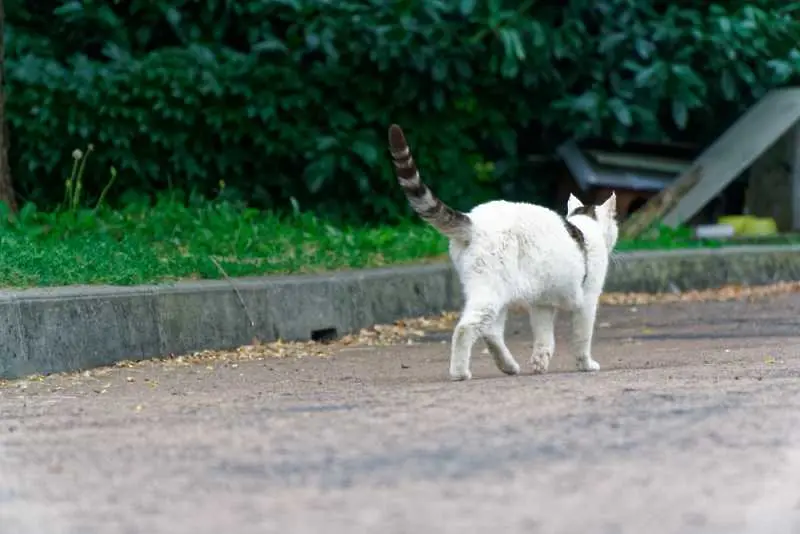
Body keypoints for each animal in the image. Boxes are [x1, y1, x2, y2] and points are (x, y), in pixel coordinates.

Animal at [388, 123, 620, 382]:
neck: (586, 227)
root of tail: (474, 221)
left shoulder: (542, 304)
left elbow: (544, 338)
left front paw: (540, 362)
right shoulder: (587, 301)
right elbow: (582, 338)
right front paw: (586, 364)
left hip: (495, 293)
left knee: (490, 332)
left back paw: (508, 365)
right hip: (491, 290)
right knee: (467, 328)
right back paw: (460, 372)